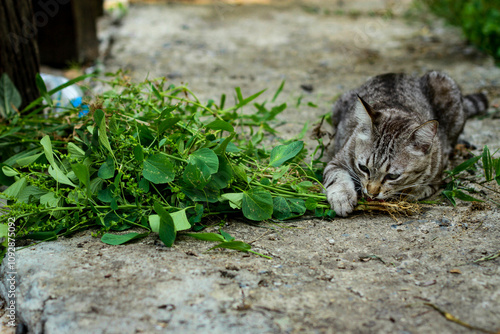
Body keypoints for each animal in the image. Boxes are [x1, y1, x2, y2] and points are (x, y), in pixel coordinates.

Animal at [324, 71, 488, 217]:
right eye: (363, 168)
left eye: (392, 176)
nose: (371, 192)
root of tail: (394, 74)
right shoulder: (336, 161)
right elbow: (337, 177)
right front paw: (342, 198)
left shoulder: (436, 178)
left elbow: (418, 189)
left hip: (445, 85)